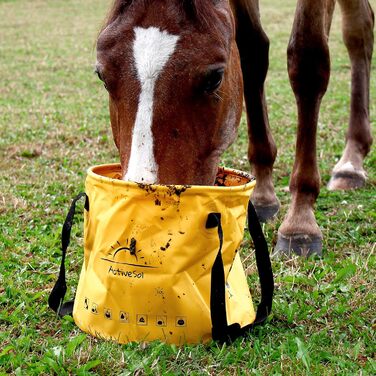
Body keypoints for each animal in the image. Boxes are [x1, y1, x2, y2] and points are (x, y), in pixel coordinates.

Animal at [94, 0, 374, 256]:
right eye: (102, 76)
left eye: (215, 78)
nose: (147, 216)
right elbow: (251, 53)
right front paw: (261, 195)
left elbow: (307, 60)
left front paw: (300, 221)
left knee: (358, 31)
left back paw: (351, 163)